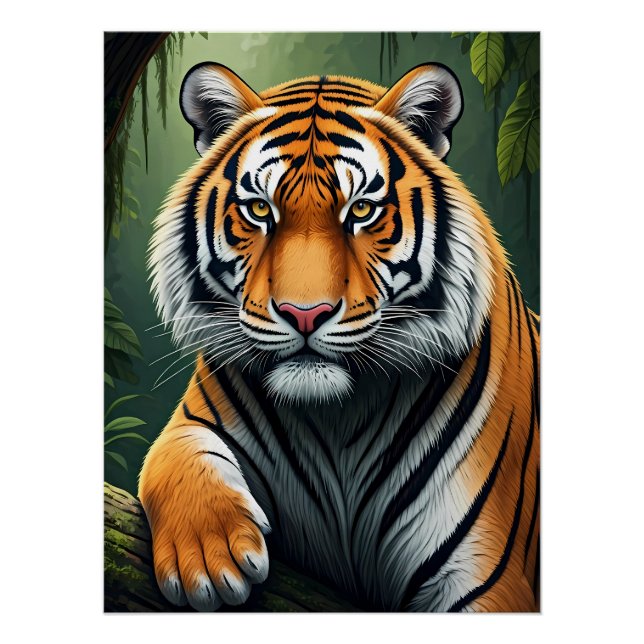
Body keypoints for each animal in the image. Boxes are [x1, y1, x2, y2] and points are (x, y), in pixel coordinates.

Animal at [139, 60, 540, 612]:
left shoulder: (486, 576)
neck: (335, 420)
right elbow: (170, 456)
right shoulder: (193, 419)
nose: (305, 314)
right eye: (260, 210)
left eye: (362, 211)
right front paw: (208, 559)